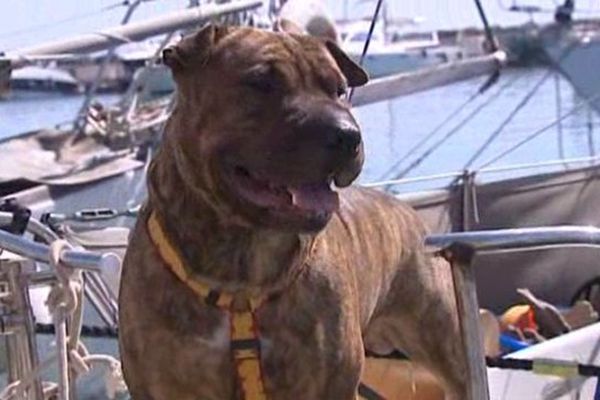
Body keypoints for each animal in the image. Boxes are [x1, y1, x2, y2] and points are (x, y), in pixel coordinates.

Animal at [118, 25, 468, 400]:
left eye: (339, 89)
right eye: (261, 82)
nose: (347, 135)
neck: (242, 268)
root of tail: (407, 211)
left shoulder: (334, 383)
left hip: (447, 345)